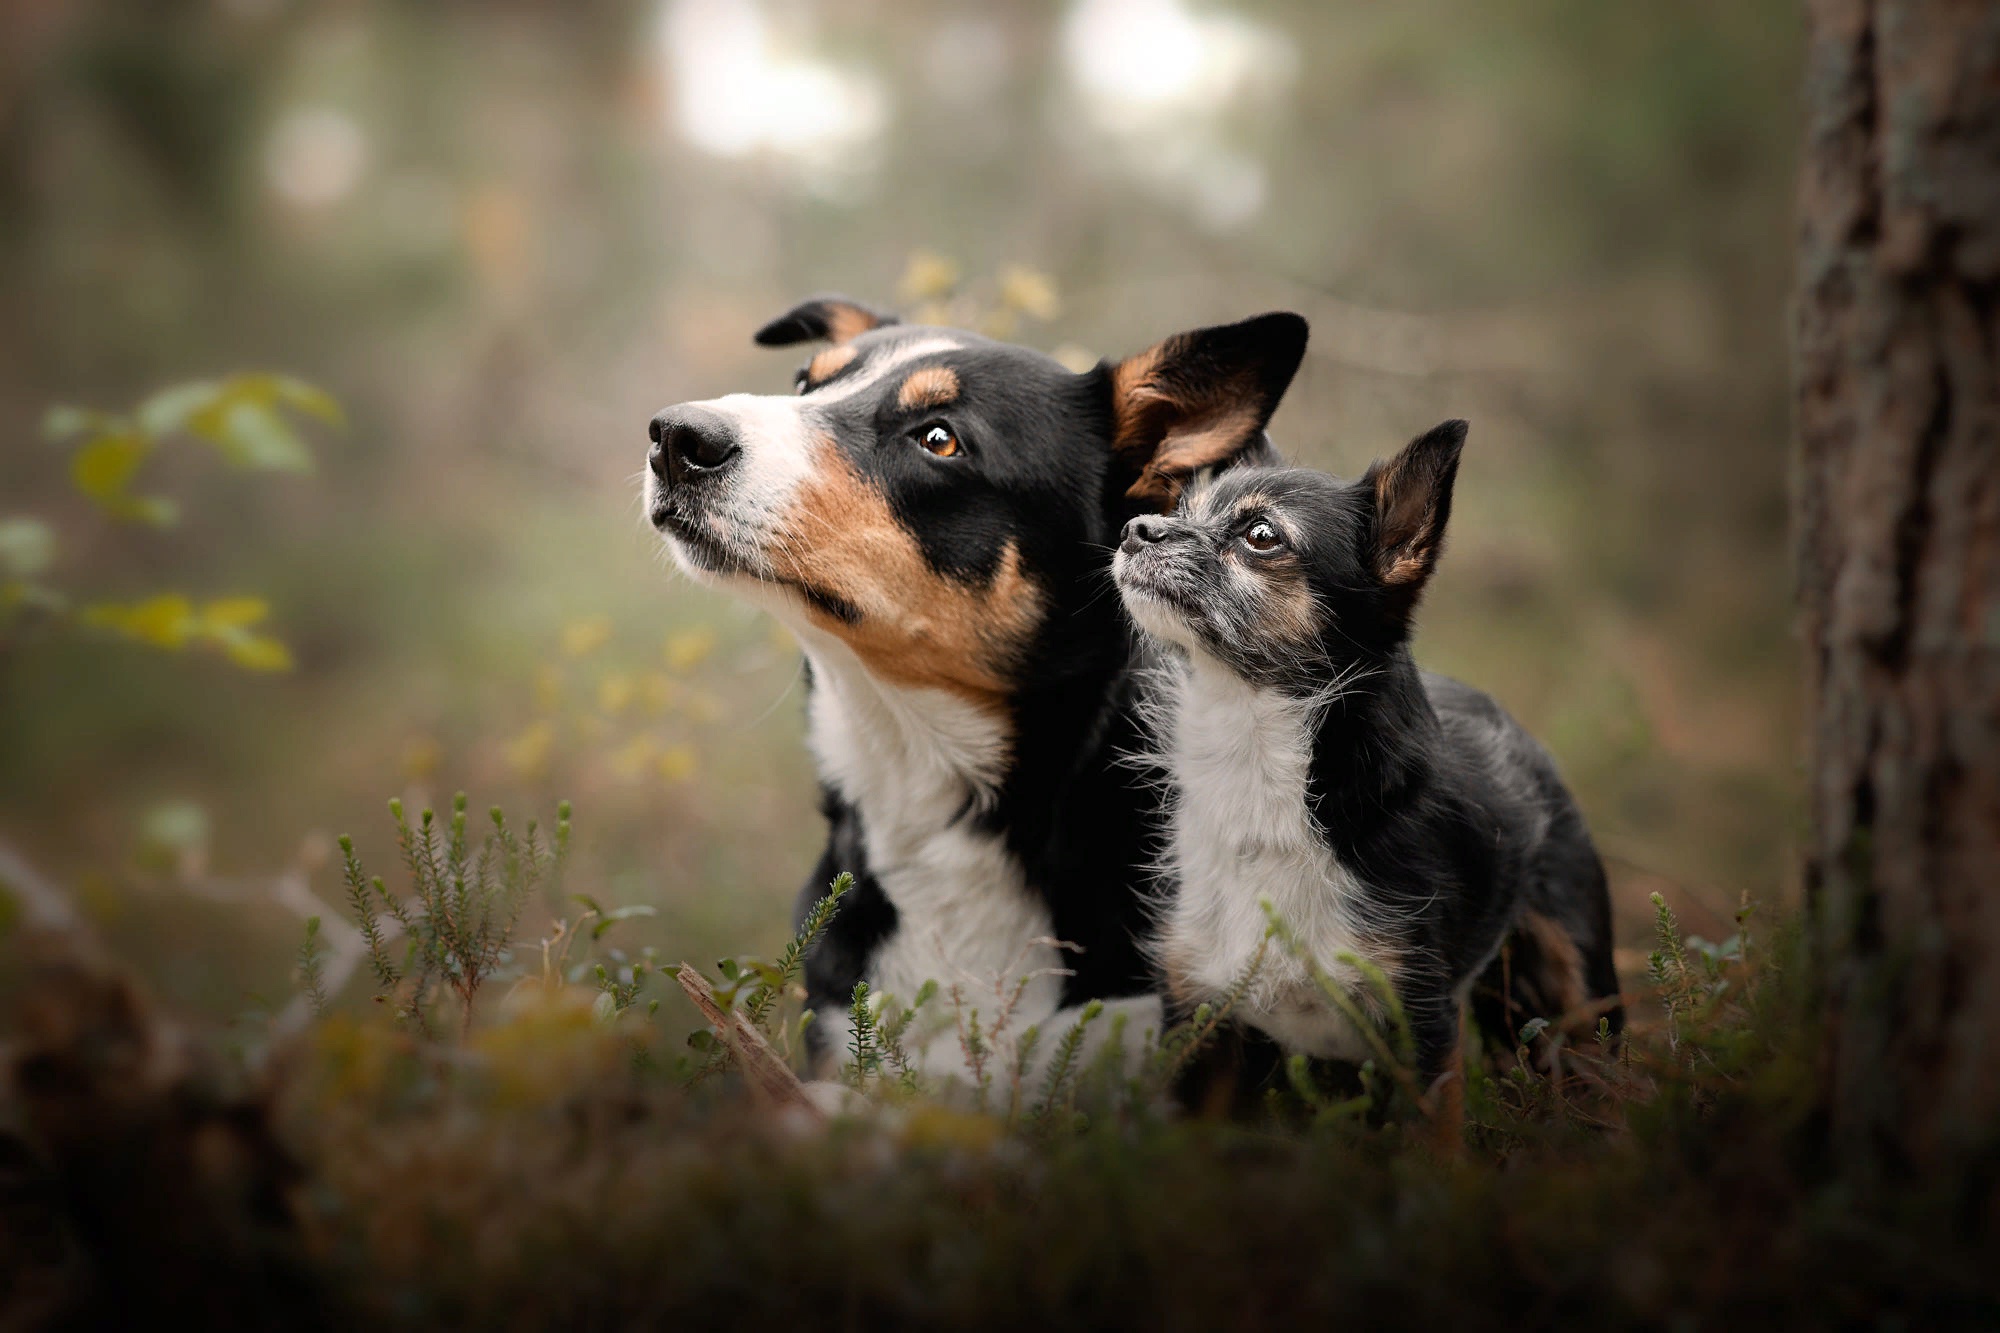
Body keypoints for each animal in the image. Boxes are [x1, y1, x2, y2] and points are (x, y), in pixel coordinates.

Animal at [1112, 422, 1624, 1088]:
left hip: (1579, 986)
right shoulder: (1198, 1016)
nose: (1135, 528)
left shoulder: (1422, 1027)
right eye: (1181, 510)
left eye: (1261, 536)